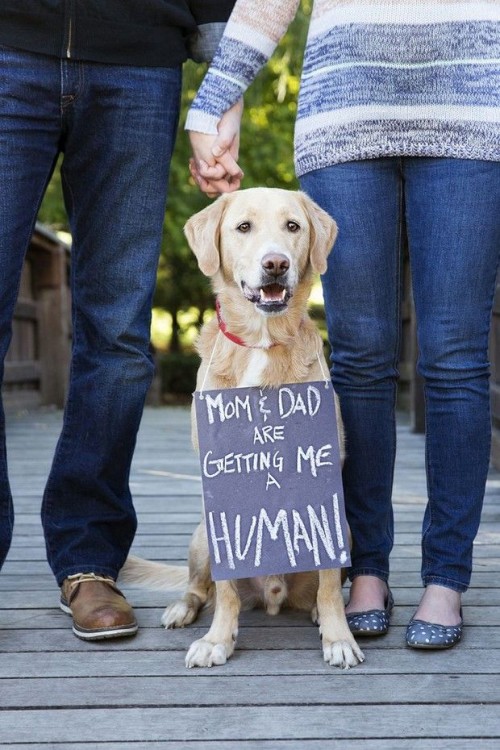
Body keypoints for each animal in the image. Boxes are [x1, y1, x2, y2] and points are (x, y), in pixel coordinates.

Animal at [121, 188, 364, 668]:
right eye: (244, 227)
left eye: (293, 226)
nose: (276, 263)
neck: (261, 343)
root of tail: (272, 593)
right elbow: (227, 590)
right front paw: (218, 639)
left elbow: (329, 583)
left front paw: (338, 637)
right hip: (202, 534)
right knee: (201, 588)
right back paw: (183, 608)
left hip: (344, 528)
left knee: (318, 587)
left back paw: (317, 613)